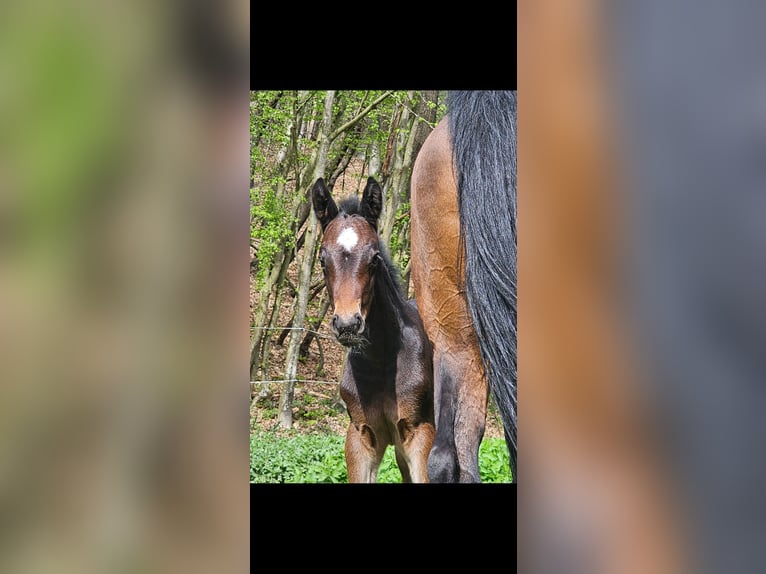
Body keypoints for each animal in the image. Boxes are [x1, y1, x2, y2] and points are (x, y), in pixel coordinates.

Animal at [308, 178, 436, 484]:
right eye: (322, 259)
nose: (348, 325)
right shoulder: (361, 435)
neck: (382, 359)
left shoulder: (420, 433)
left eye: (375, 258)